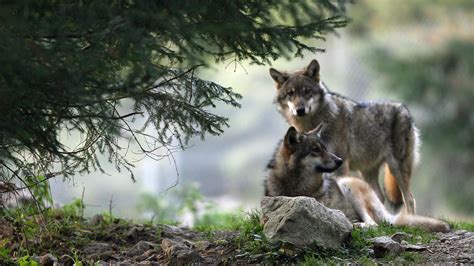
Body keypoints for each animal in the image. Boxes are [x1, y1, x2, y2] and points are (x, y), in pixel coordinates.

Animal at [264, 125, 450, 232]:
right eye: (315, 150)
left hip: (349, 185)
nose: (339, 160)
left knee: (373, 224)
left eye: (325, 148)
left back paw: (355, 225)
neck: (295, 185)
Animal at [268, 60, 420, 214]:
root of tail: (404, 109)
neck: (313, 122)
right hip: (367, 171)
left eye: (307, 91)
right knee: (378, 196)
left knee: (410, 198)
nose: (299, 110)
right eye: (290, 93)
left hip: (397, 167)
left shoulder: (340, 163)